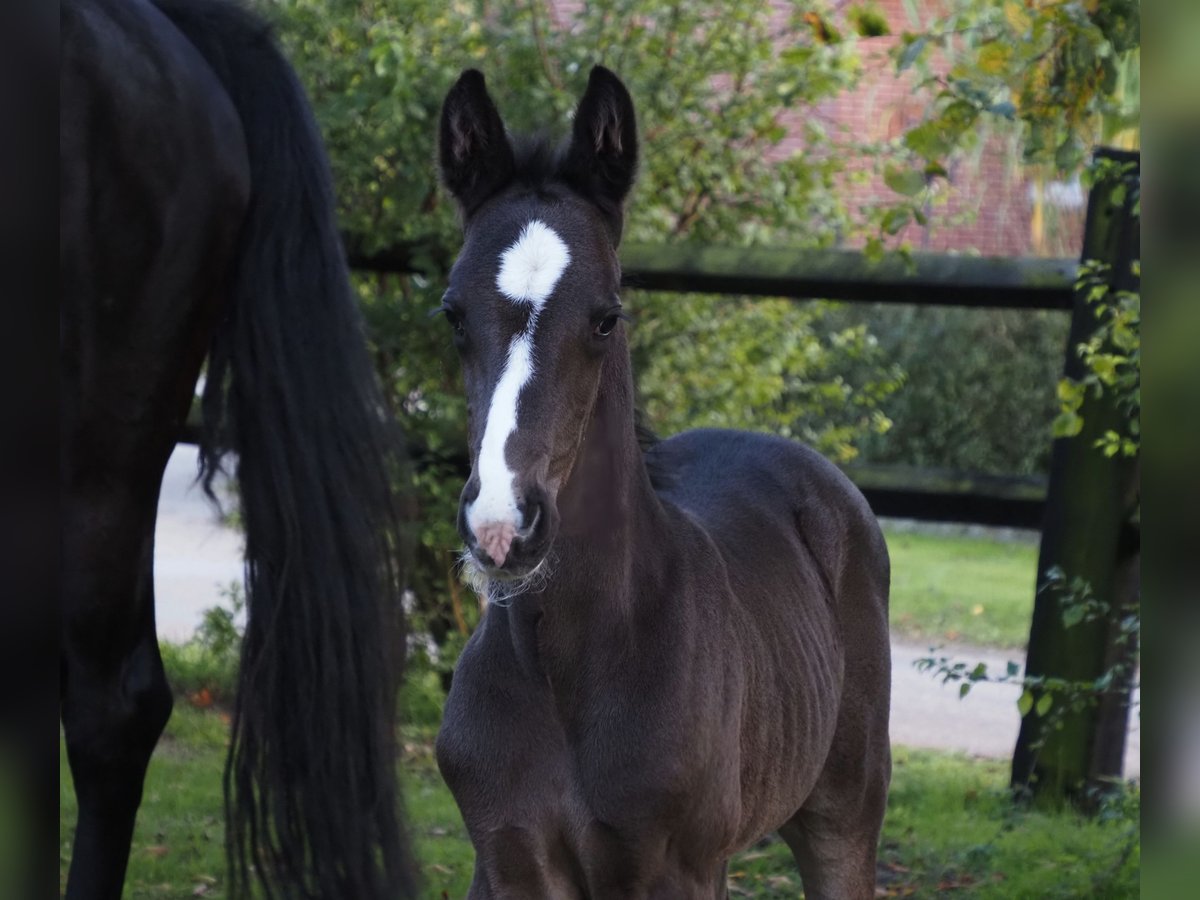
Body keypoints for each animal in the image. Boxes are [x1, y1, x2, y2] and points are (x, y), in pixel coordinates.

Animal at [432, 66, 892, 897]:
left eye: (606, 317)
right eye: (453, 314)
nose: (503, 527)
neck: (568, 664)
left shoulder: (675, 869)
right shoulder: (507, 861)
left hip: (843, 813)